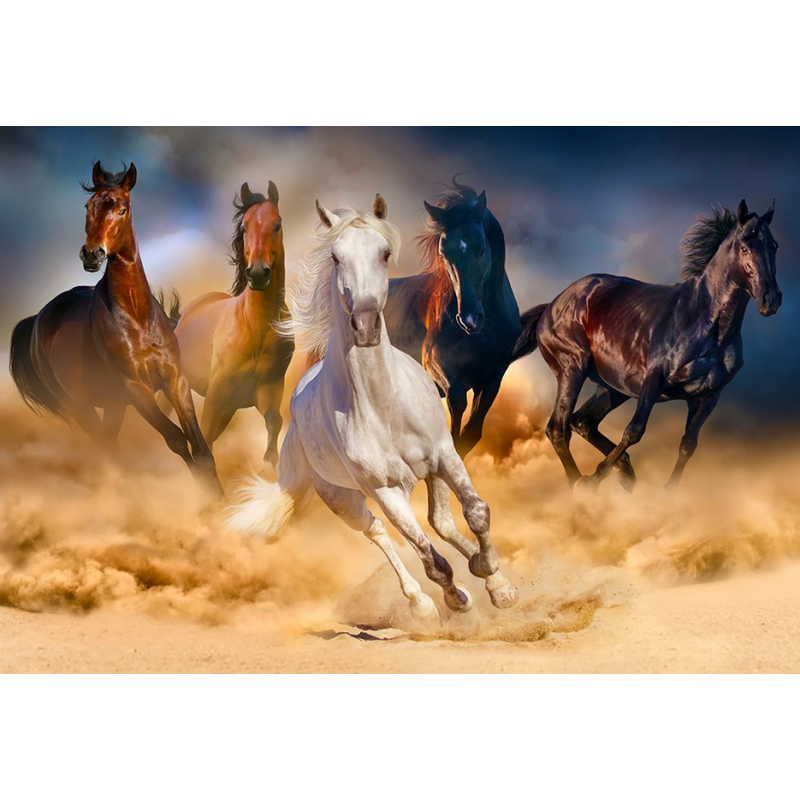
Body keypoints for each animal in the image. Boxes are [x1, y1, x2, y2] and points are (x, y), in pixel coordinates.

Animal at [9, 162, 220, 491]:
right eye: (88, 206)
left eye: (122, 209)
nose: (91, 254)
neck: (137, 317)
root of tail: (37, 320)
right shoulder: (135, 388)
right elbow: (175, 439)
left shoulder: (175, 380)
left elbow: (200, 447)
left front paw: (220, 498)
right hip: (79, 406)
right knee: (106, 446)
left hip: (112, 404)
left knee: (110, 442)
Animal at [172, 181, 293, 466]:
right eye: (244, 227)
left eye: (277, 224)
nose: (258, 273)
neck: (257, 326)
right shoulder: (218, 393)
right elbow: (204, 441)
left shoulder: (267, 390)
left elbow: (274, 423)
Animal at [383, 183, 522, 457]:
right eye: (444, 253)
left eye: (481, 248)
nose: (469, 319)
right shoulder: (435, 363)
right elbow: (456, 405)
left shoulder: (493, 376)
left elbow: (471, 432)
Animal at [512, 200, 782, 489]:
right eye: (744, 246)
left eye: (774, 246)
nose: (771, 299)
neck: (707, 325)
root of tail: (551, 305)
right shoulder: (654, 379)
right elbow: (634, 430)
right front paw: (595, 478)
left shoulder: (708, 396)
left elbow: (688, 444)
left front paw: (666, 492)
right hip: (572, 369)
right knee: (558, 428)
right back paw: (581, 483)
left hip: (612, 387)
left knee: (582, 422)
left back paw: (625, 472)